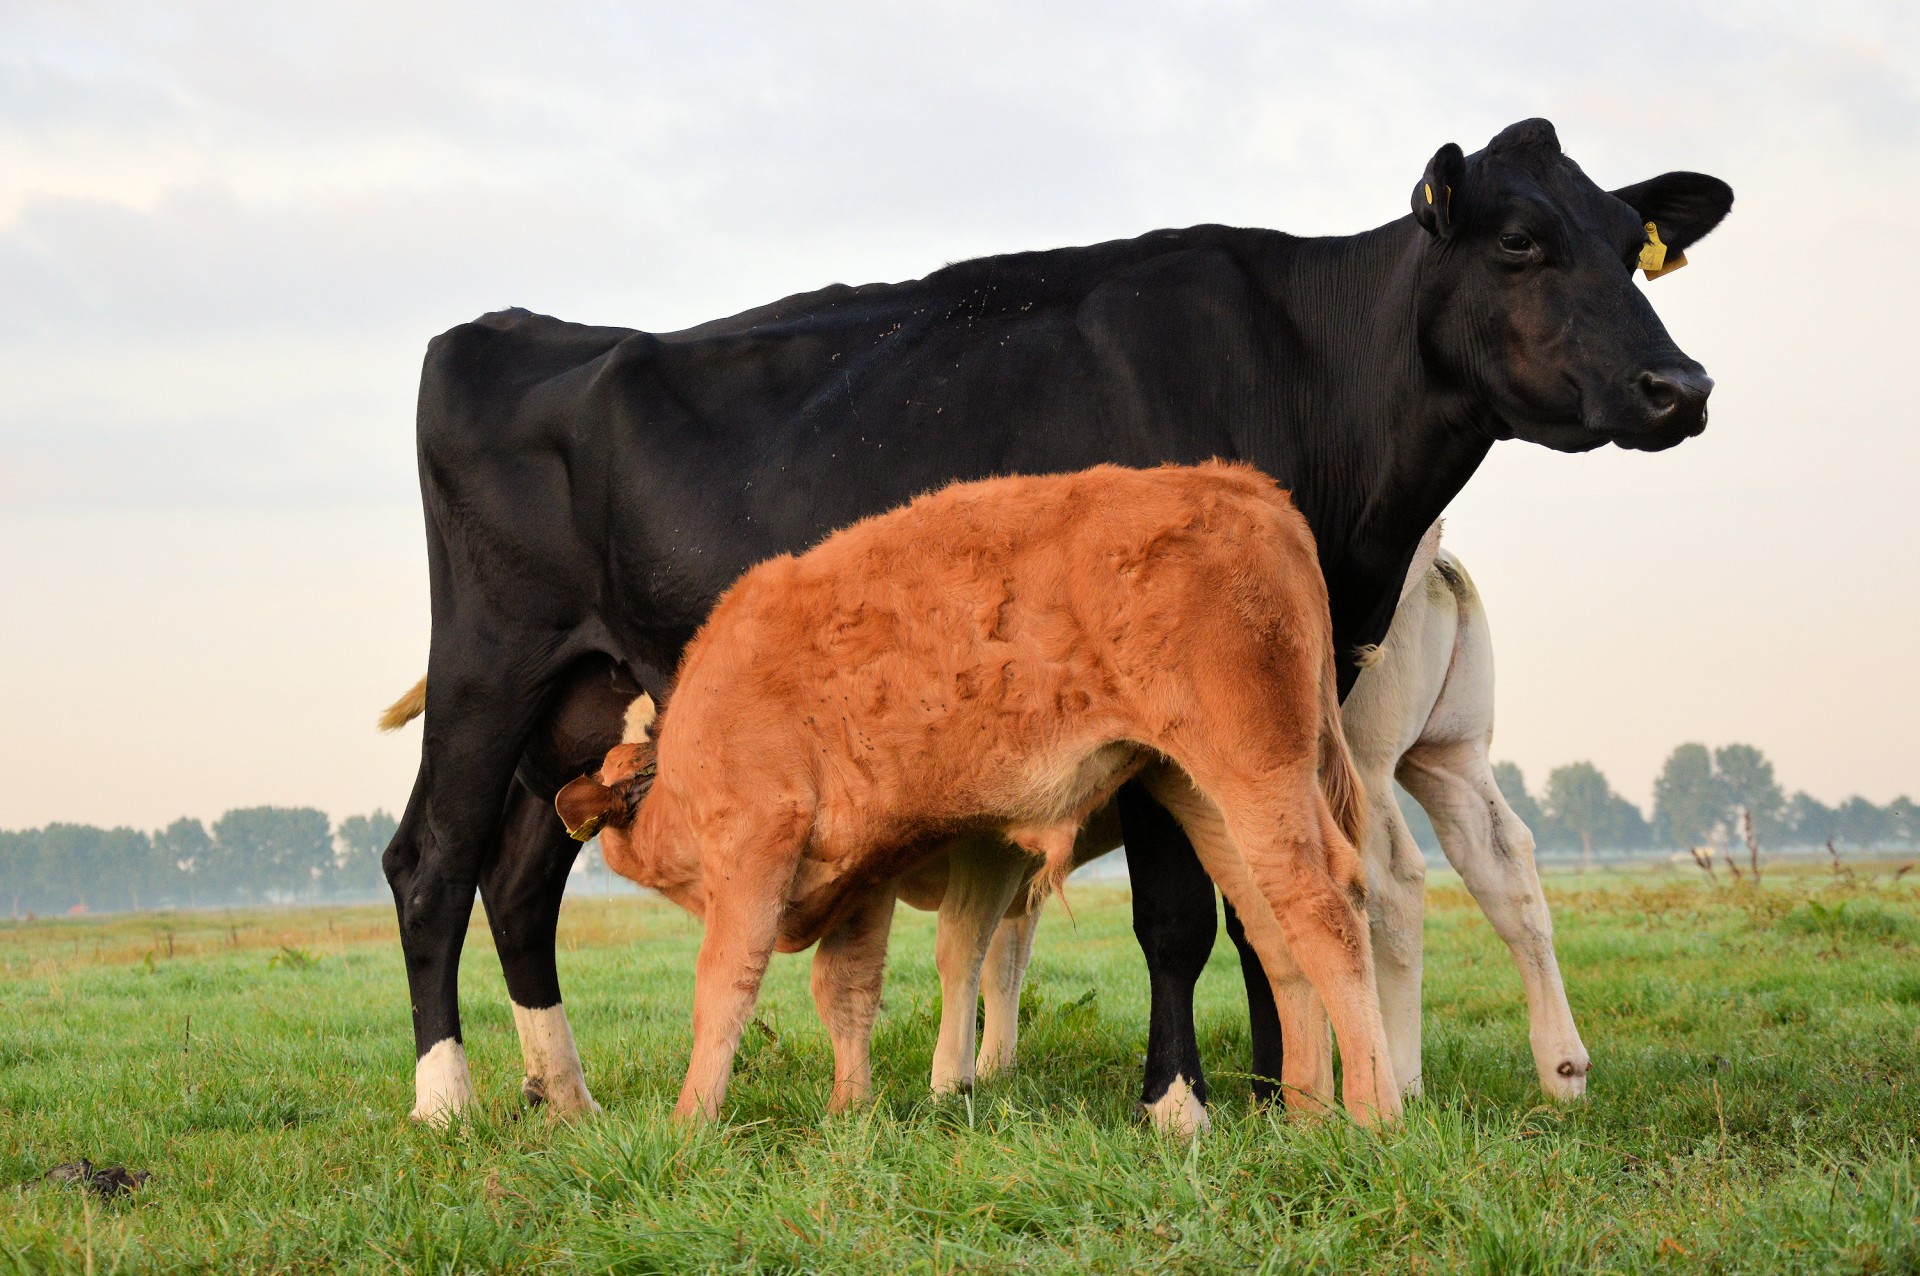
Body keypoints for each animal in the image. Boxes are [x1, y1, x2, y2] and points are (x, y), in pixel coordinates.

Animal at [552, 462, 1397, 1120]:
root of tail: (1244, 485)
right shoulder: (864, 869)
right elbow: (846, 988)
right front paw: (849, 1111)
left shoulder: (758, 839)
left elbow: (725, 984)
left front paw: (689, 1121)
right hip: (1197, 787)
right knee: (1272, 925)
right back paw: (1308, 1111)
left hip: (1255, 768)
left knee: (1325, 904)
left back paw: (1372, 1113)